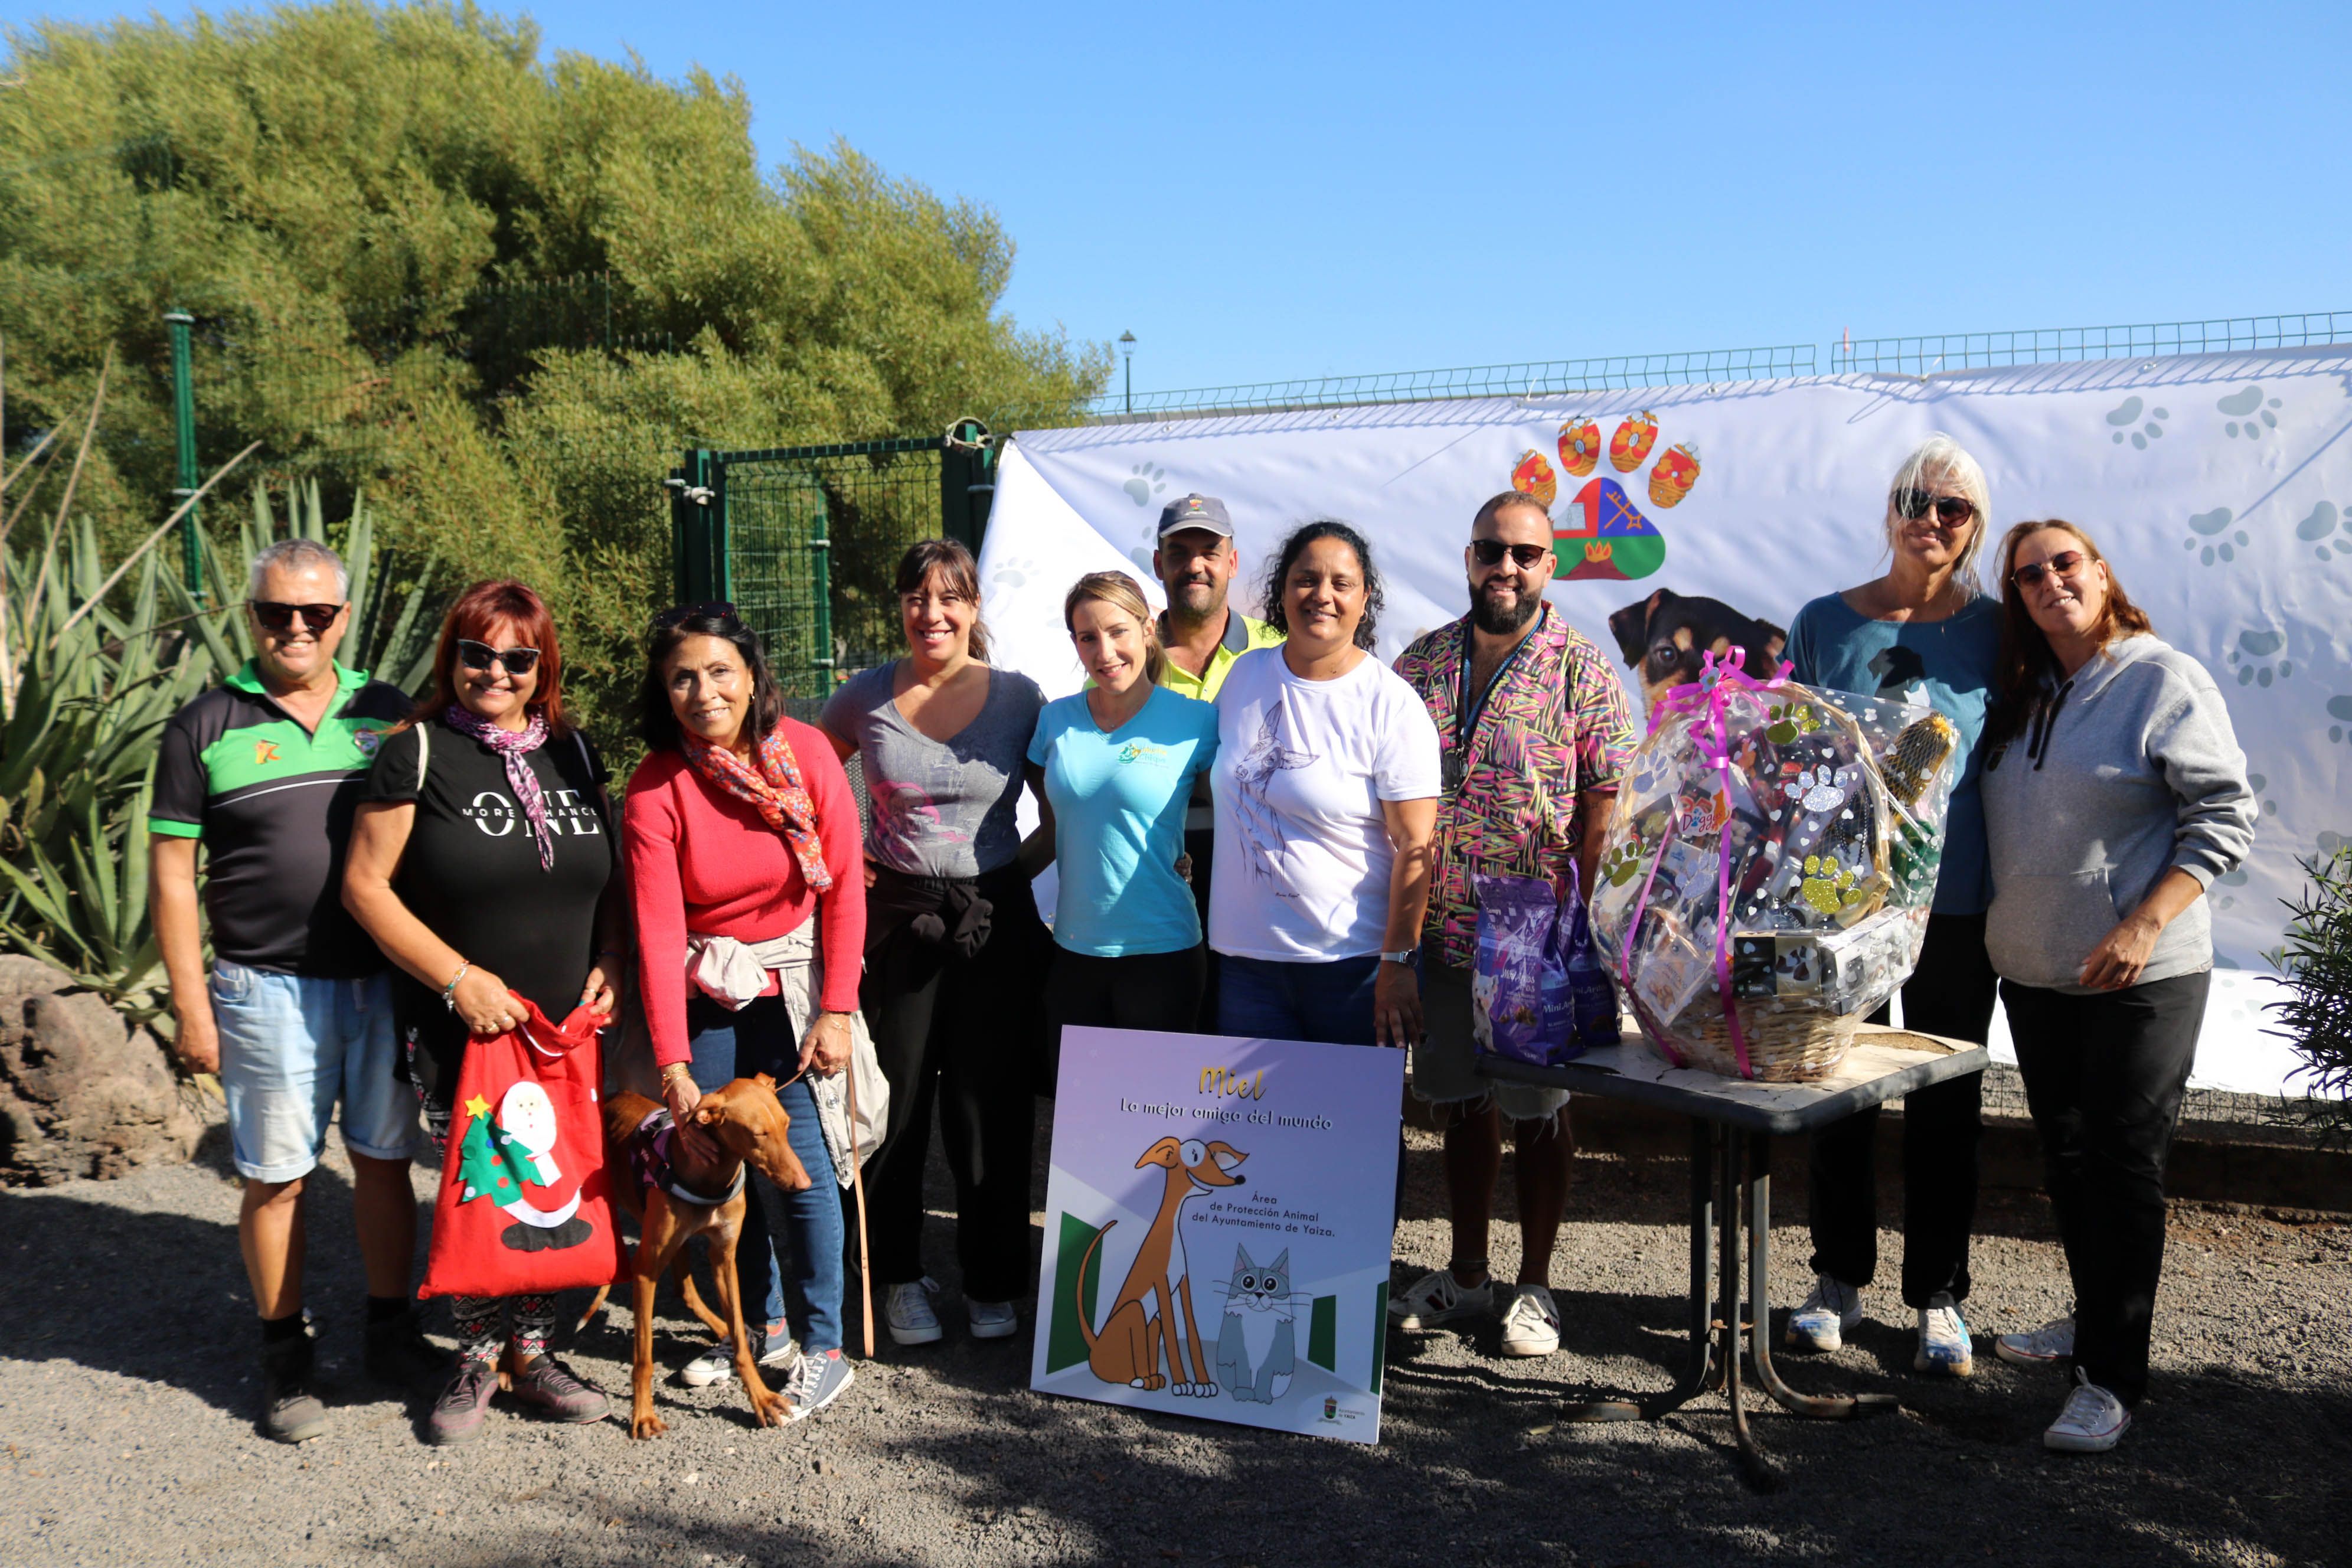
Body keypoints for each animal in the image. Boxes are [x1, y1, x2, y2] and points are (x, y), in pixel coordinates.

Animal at [581, 1072, 818, 1438]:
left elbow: (741, 1344)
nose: (804, 1183)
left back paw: (721, 1327)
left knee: (686, 1291)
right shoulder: (646, 1271)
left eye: (787, 1124)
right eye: (758, 1134)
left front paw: (762, 1399)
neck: (710, 1179)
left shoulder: (724, 1258)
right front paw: (643, 1414)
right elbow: (644, 1358)